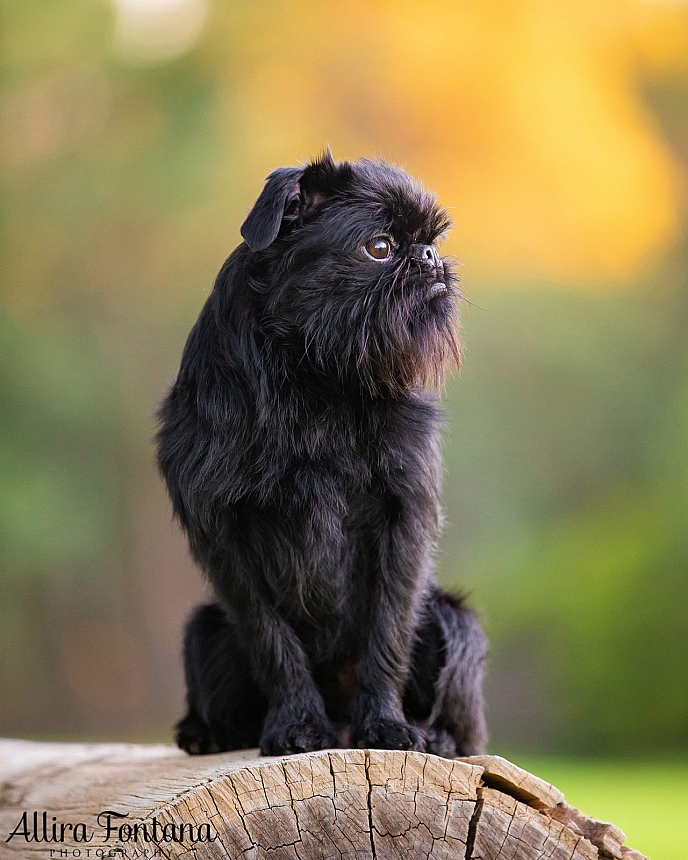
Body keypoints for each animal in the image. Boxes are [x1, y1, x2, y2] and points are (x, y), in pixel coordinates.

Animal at [158, 151, 486, 756]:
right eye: (379, 247)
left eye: (430, 241)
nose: (428, 257)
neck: (316, 378)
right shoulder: (225, 538)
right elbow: (271, 641)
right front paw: (296, 725)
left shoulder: (403, 519)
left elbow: (388, 632)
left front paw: (386, 725)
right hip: (206, 632)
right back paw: (205, 733)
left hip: (454, 624)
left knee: (466, 721)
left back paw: (436, 738)